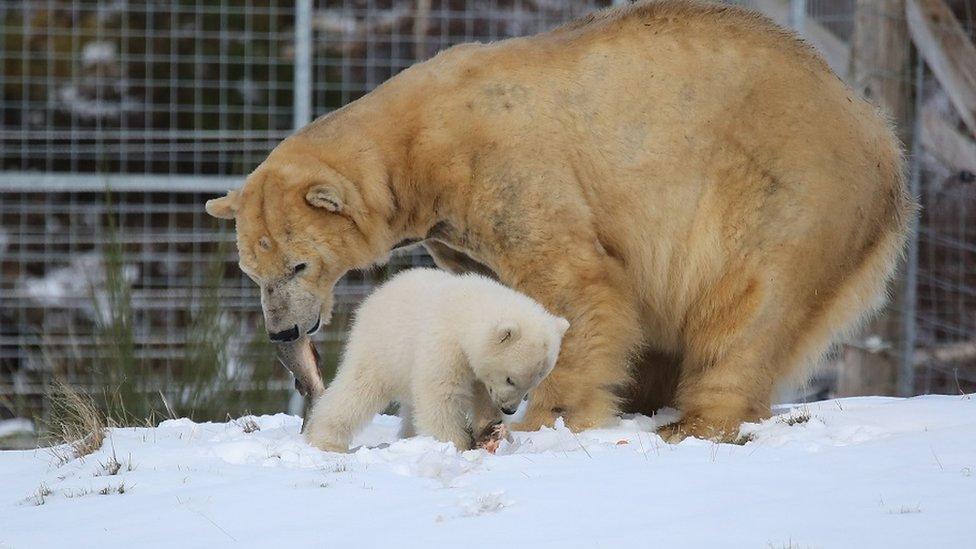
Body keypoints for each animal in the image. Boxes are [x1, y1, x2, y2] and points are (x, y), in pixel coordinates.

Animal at [302, 268, 568, 452]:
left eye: (532, 385)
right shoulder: (445, 345)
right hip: (381, 347)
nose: (509, 409)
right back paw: (325, 440)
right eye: (511, 379)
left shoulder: (479, 372)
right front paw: (456, 444)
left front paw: (492, 429)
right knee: (357, 390)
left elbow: (482, 397)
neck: (467, 309)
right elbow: (441, 395)